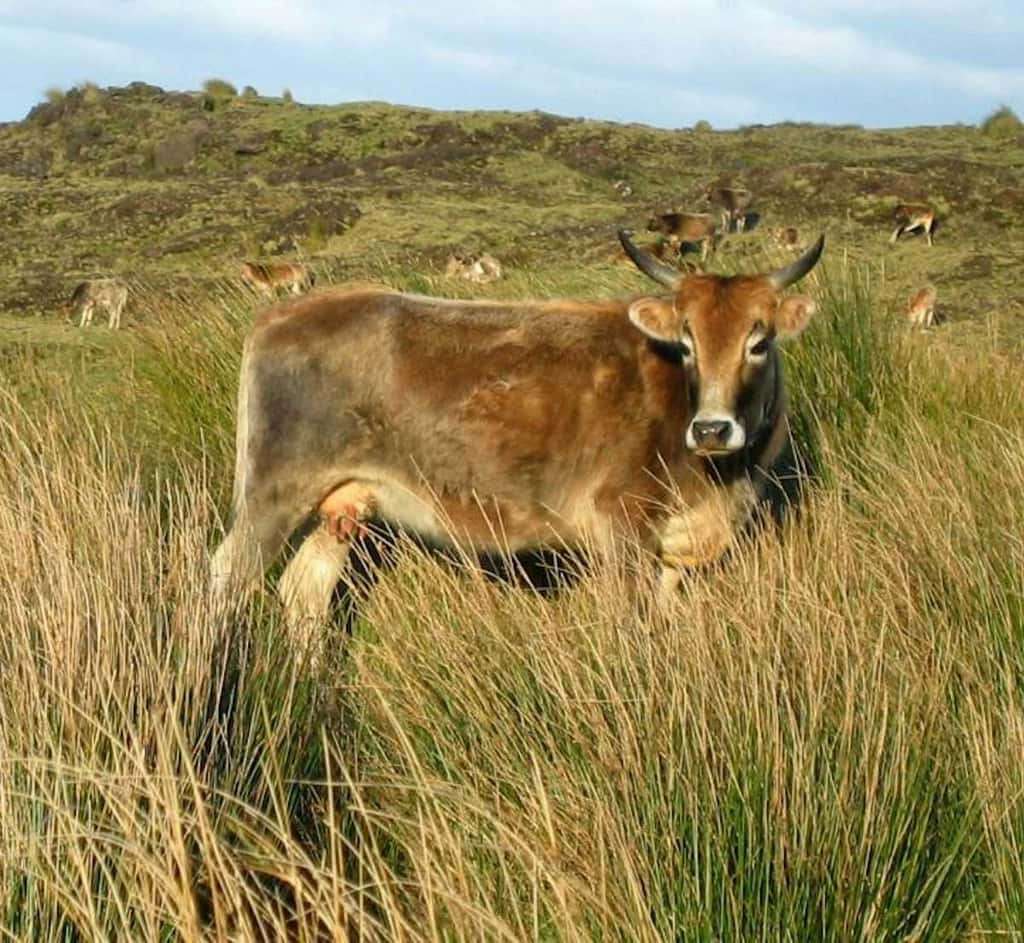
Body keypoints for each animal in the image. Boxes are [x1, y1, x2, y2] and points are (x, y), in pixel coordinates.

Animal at [209, 230, 825, 652]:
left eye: (759, 342)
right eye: (687, 341)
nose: (712, 429)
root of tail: (282, 313)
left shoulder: (673, 548)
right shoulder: (620, 526)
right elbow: (628, 624)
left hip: (344, 504)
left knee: (304, 594)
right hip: (274, 494)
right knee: (224, 581)